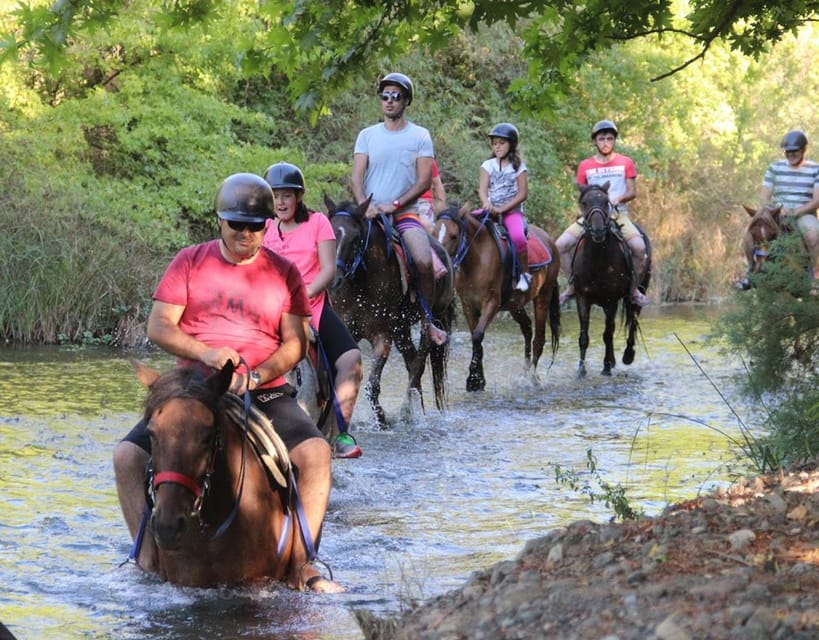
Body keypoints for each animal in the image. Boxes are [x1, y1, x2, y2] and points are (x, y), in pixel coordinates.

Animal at [324, 195, 458, 424]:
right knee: (411, 360)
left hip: (431, 320)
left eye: (356, 238)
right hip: (401, 329)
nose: (334, 280)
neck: (362, 283)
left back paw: (407, 413)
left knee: (418, 363)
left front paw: (382, 420)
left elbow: (372, 386)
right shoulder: (349, 331)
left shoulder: (382, 336)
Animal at [432, 204, 560, 390]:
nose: (440, 263)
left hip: (543, 296)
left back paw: (532, 378)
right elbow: (475, 337)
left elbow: (477, 335)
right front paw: (478, 379)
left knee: (539, 338)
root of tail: (551, 241)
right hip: (515, 304)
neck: (476, 260)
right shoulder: (468, 304)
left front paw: (473, 379)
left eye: (454, 236)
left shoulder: (491, 302)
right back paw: (524, 373)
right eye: (433, 233)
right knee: (527, 328)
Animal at [572, 182, 652, 378]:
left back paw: (627, 356)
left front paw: (606, 368)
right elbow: (584, 336)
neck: (597, 260)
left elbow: (607, 334)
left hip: (640, 290)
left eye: (605, 201)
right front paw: (581, 370)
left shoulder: (611, 300)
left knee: (633, 320)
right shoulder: (582, 298)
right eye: (584, 202)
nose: (598, 230)